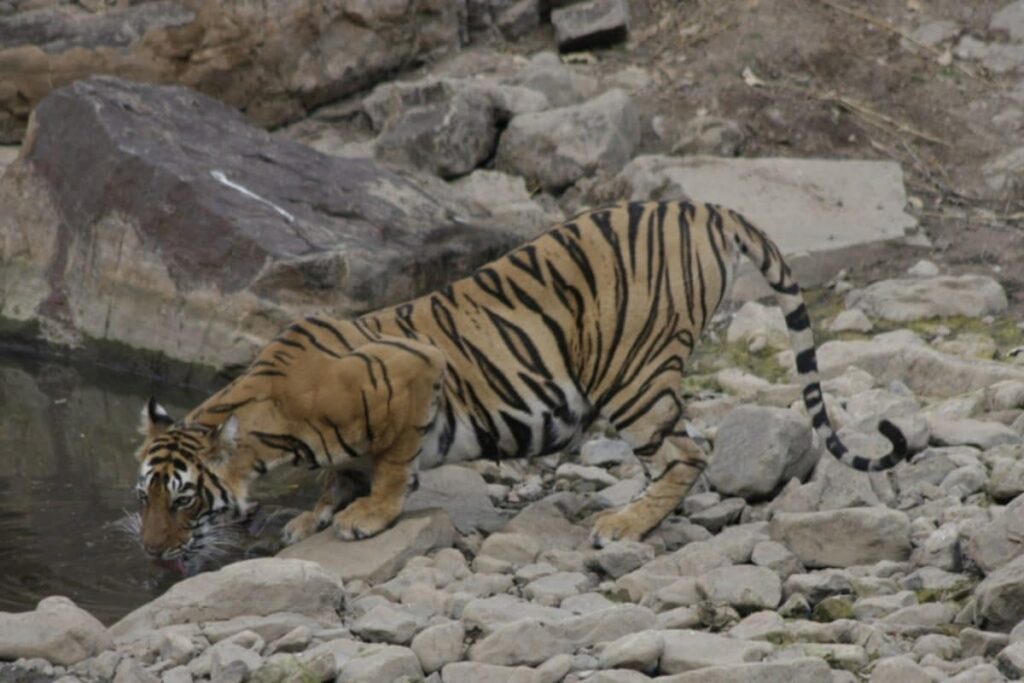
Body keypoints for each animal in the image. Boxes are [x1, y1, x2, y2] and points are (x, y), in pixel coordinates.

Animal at [133, 200, 908, 572]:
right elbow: (340, 473)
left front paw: (366, 515)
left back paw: (624, 523)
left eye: (184, 498)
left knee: (686, 454)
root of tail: (701, 207)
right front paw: (315, 515)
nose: (150, 551)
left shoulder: (415, 374)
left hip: (630, 372)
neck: (270, 429)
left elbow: (391, 464)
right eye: (142, 498)